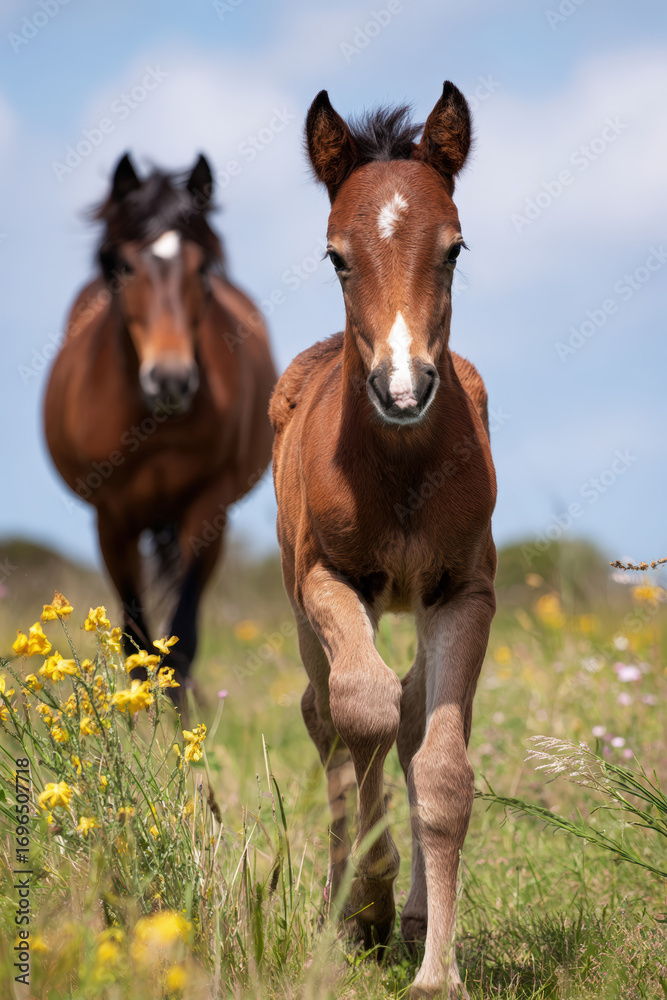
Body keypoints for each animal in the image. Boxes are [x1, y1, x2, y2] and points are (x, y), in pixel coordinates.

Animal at [45, 153, 276, 696]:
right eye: (123, 265)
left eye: (204, 266)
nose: (170, 379)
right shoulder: (111, 519)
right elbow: (133, 639)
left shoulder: (210, 509)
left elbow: (182, 639)